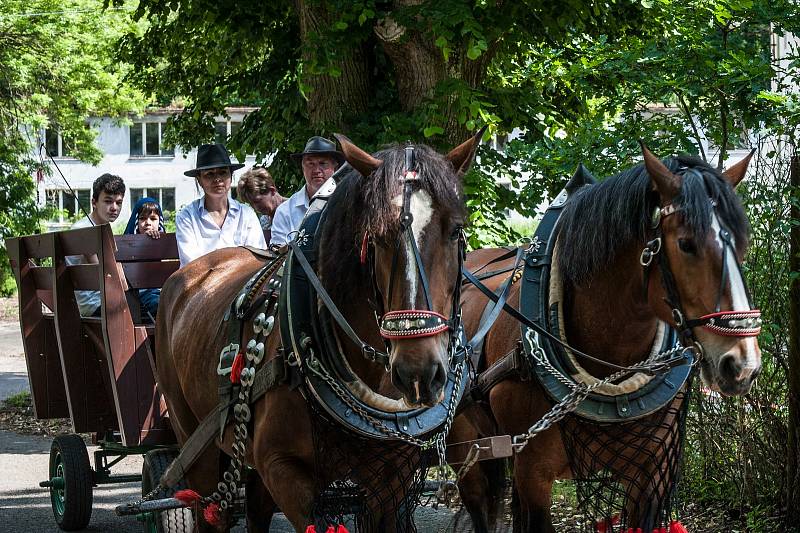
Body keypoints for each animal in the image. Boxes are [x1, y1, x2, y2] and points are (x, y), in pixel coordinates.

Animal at [156, 131, 482, 528]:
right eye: (376, 236)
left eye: (456, 230)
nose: (418, 373)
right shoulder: (285, 471)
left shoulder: (393, 478)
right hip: (193, 441)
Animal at [450, 147, 764, 532]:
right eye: (686, 244)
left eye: (743, 245)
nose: (742, 363)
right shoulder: (532, 473)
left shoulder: (651, 474)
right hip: (465, 447)